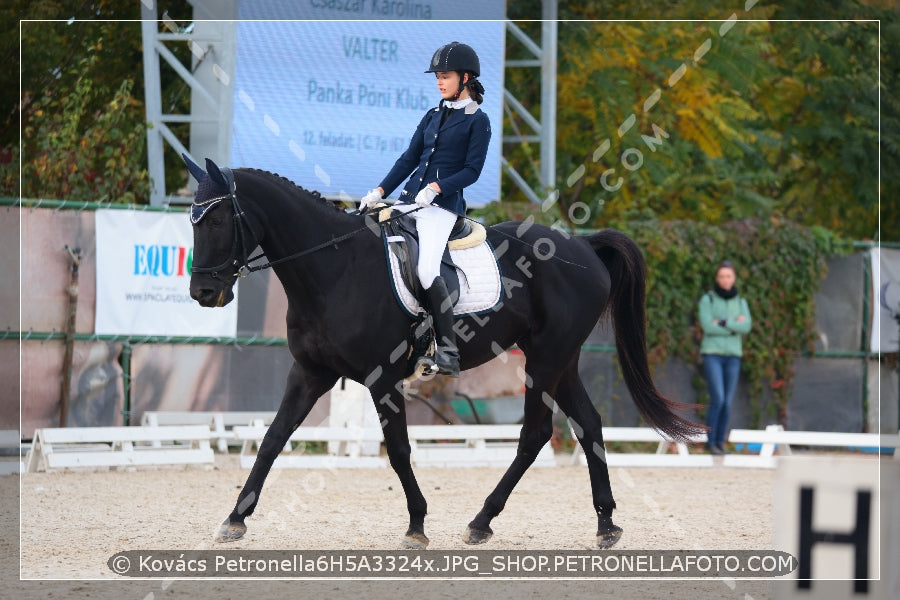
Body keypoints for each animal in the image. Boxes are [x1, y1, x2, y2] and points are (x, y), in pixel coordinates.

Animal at [185, 157, 704, 552]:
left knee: (535, 434)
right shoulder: (309, 373)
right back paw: (604, 524)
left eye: (217, 220)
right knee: (588, 424)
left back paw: (482, 520)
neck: (335, 267)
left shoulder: (383, 378)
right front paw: (235, 519)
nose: (204, 292)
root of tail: (585, 246)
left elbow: (398, 450)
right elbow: (272, 440)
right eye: (192, 220)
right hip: (561, 359)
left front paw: (416, 525)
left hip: (545, 360)